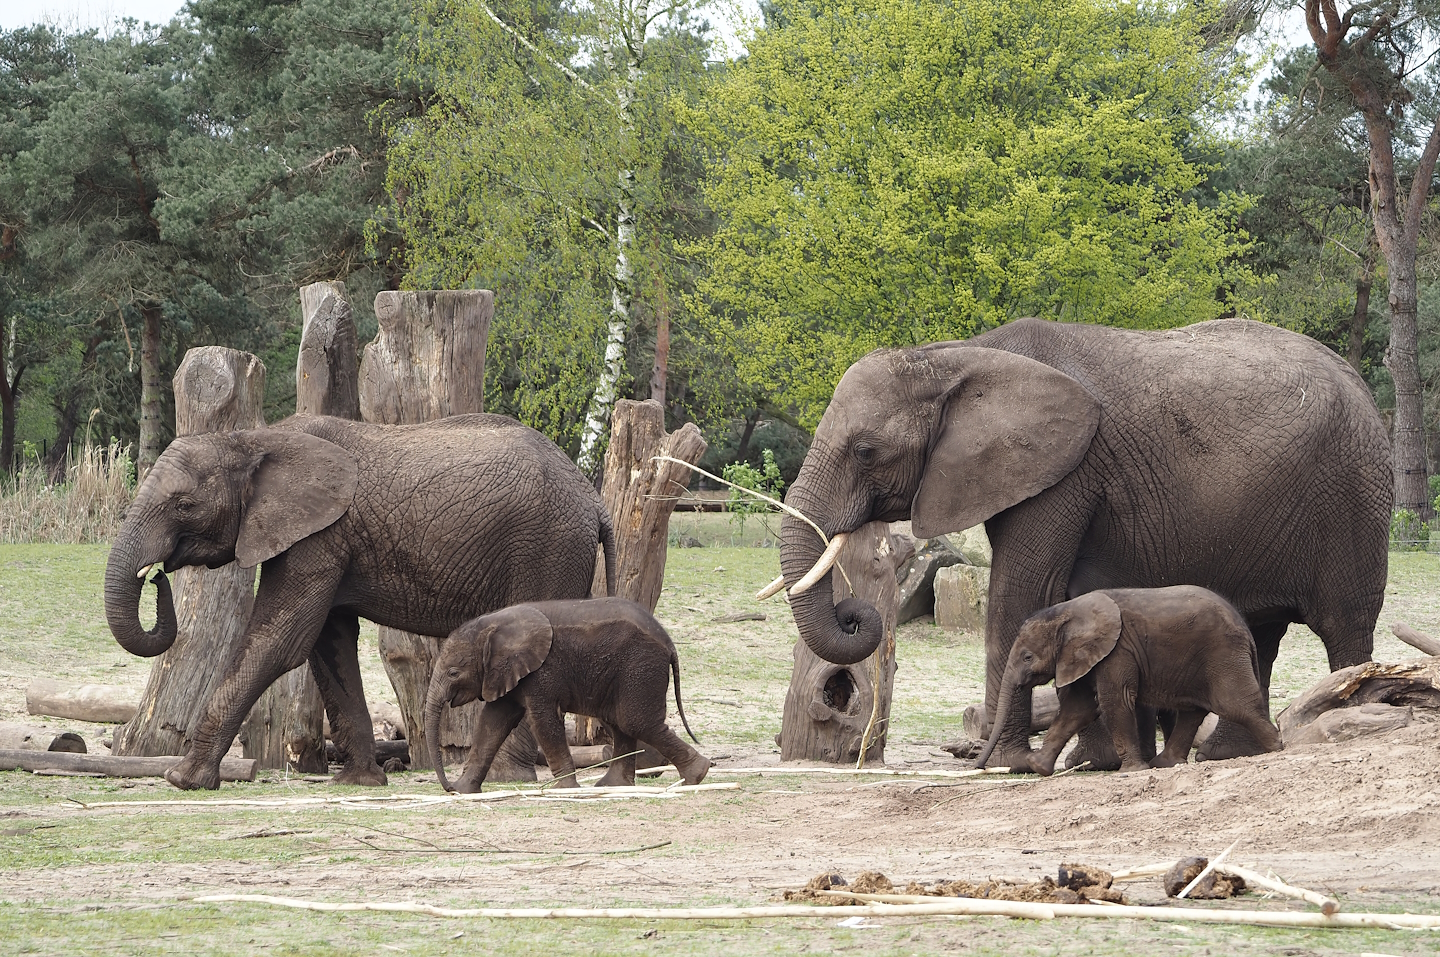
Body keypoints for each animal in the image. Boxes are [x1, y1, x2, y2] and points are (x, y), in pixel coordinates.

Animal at [105, 413, 616, 791]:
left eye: (184, 505)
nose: (155, 575)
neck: (253, 437)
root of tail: (594, 498)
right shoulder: (323, 537)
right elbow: (327, 644)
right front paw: (359, 783)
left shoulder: (318, 535)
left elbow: (280, 640)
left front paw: (183, 780)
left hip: (548, 547)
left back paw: (509, 778)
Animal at [423, 598, 711, 793]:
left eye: (453, 673)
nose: (447, 786)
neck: (494, 623)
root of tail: (669, 642)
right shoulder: (506, 673)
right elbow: (491, 723)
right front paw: (463, 791)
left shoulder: (542, 671)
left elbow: (542, 721)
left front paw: (565, 790)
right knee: (621, 722)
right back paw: (612, 786)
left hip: (640, 664)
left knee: (635, 721)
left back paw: (696, 776)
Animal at [973, 586, 1282, 774]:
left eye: (1027, 657)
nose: (976, 765)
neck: (1069, 611)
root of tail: (1245, 628)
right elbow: (1078, 708)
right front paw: (1037, 766)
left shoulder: (1117, 651)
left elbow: (1114, 701)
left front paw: (1132, 771)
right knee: (1193, 711)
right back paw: (1164, 764)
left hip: (1223, 654)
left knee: (1235, 705)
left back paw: (1277, 749)